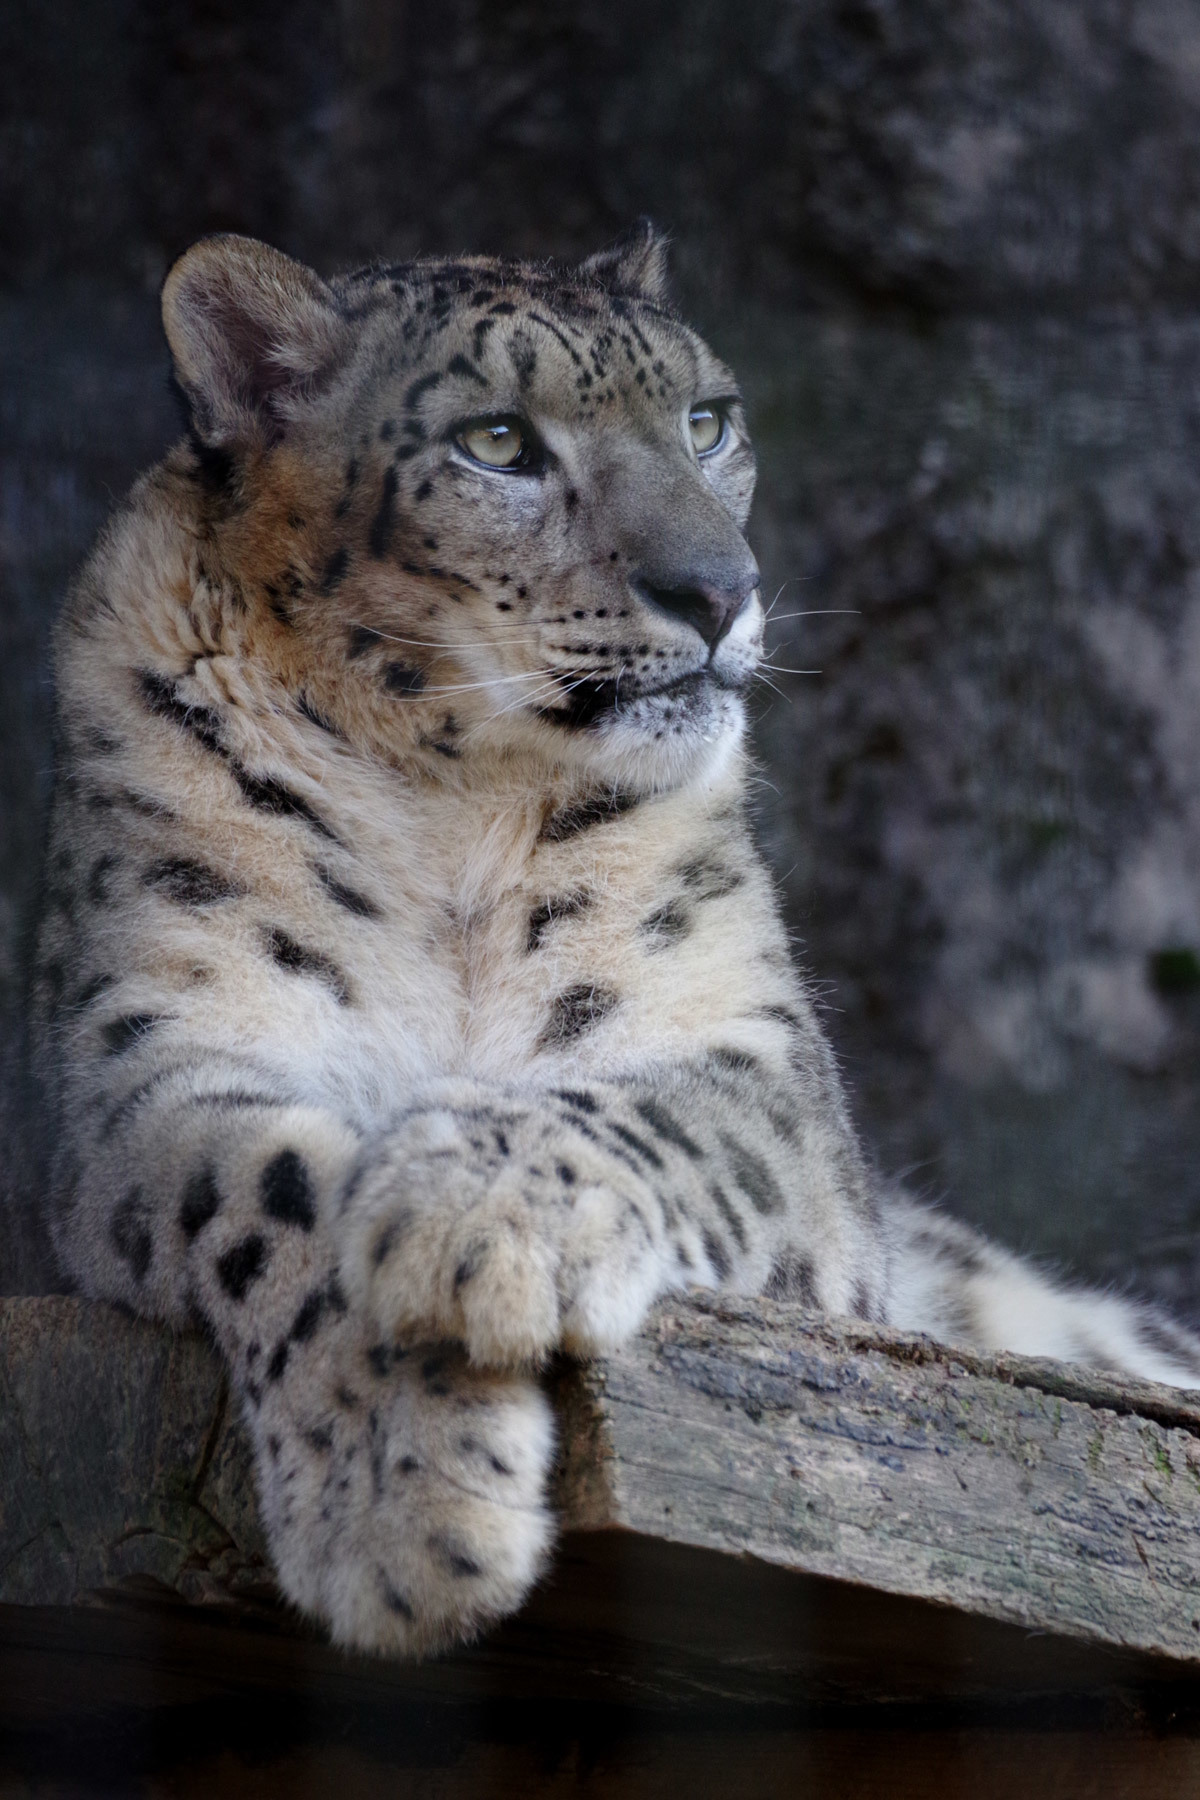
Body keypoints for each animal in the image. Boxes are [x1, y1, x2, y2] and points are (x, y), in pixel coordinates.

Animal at [25, 225, 1200, 1656]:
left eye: (707, 421)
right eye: (496, 440)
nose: (721, 591)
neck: (451, 818)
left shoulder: (756, 1055)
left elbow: (660, 1115)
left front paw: (463, 1206)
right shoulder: (153, 1064)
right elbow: (273, 1188)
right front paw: (406, 1513)